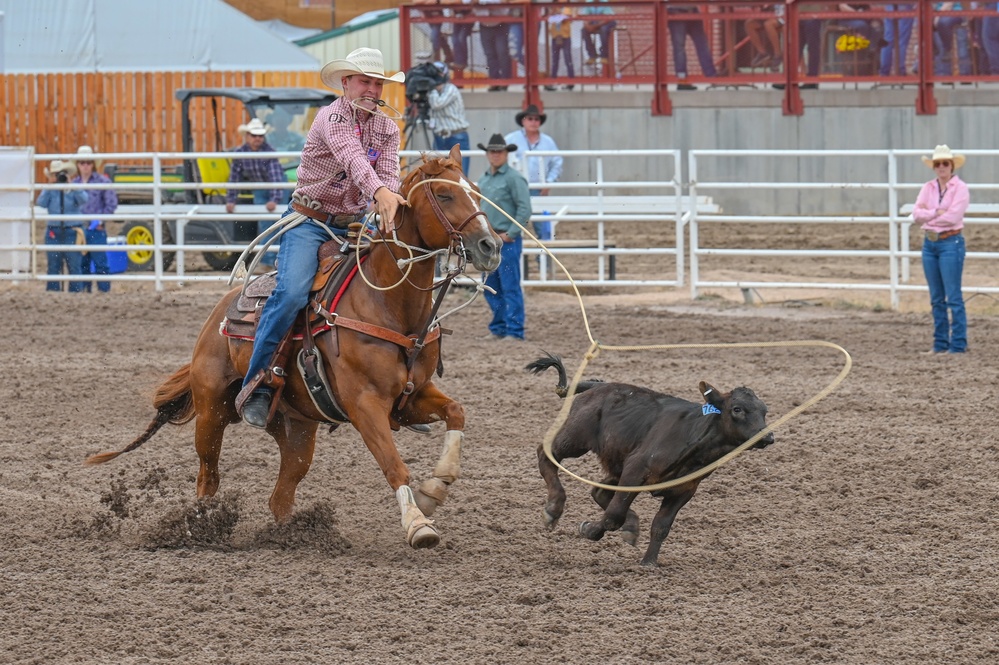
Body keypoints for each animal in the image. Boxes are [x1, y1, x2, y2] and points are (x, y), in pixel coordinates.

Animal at [87, 145, 504, 548]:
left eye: (476, 190)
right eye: (444, 194)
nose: (491, 246)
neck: (388, 304)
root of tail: (217, 316)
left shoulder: (412, 395)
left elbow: (457, 412)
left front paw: (435, 488)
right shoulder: (364, 404)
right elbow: (393, 463)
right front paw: (418, 524)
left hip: (297, 425)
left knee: (282, 491)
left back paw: (292, 534)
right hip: (212, 412)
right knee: (208, 476)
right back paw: (199, 526)